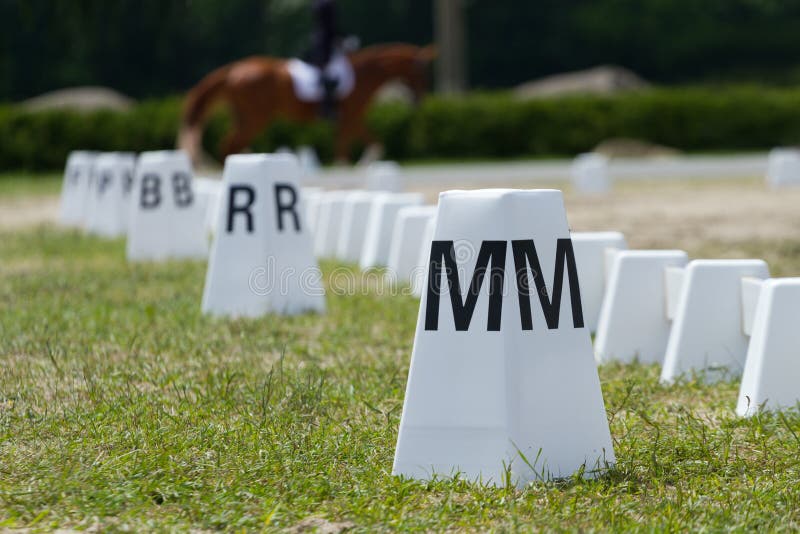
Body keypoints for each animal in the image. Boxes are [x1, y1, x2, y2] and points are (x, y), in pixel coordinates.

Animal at [180, 43, 434, 164]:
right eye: (420, 74)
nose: (418, 101)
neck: (364, 74)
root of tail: (236, 68)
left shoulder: (352, 121)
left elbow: (371, 144)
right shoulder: (351, 119)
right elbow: (354, 148)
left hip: (246, 118)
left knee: (232, 145)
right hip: (256, 119)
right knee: (229, 145)